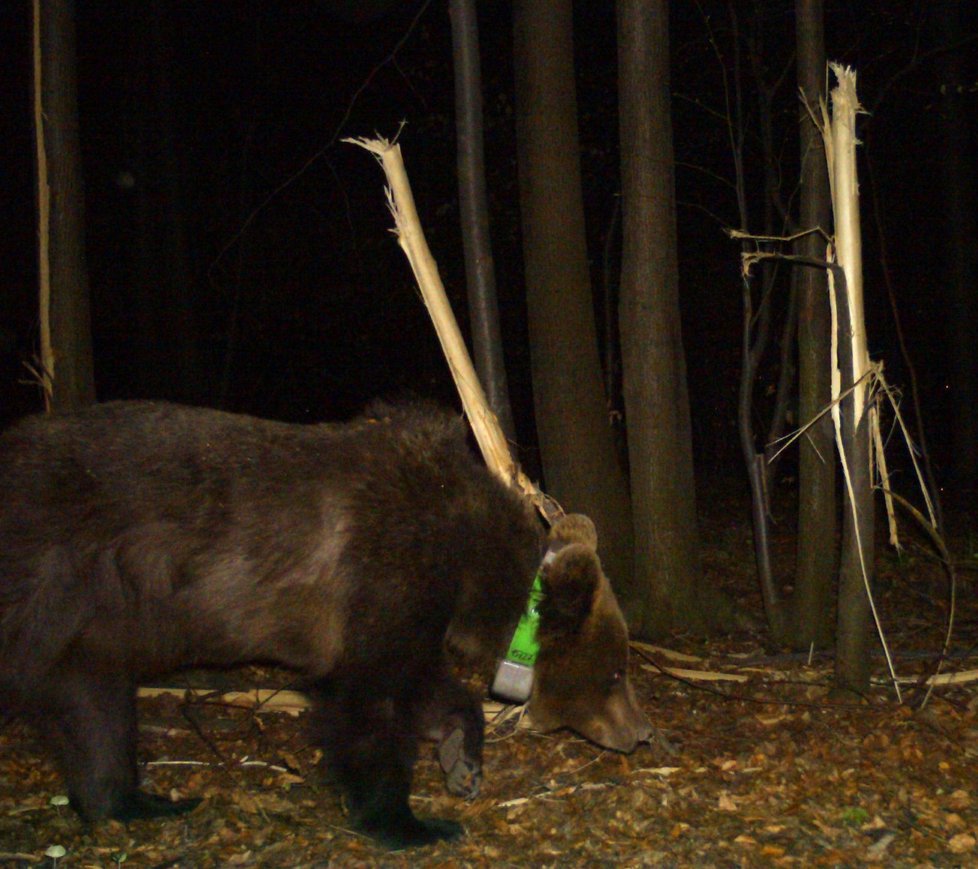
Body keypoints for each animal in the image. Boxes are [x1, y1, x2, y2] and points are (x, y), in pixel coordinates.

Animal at [0, 402, 648, 848]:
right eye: (616, 673)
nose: (639, 735)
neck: (471, 564)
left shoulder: (414, 610)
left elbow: (424, 684)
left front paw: (461, 759)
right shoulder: (386, 566)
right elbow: (369, 697)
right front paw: (409, 822)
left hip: (90, 620)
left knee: (96, 706)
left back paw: (139, 800)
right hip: (46, 578)